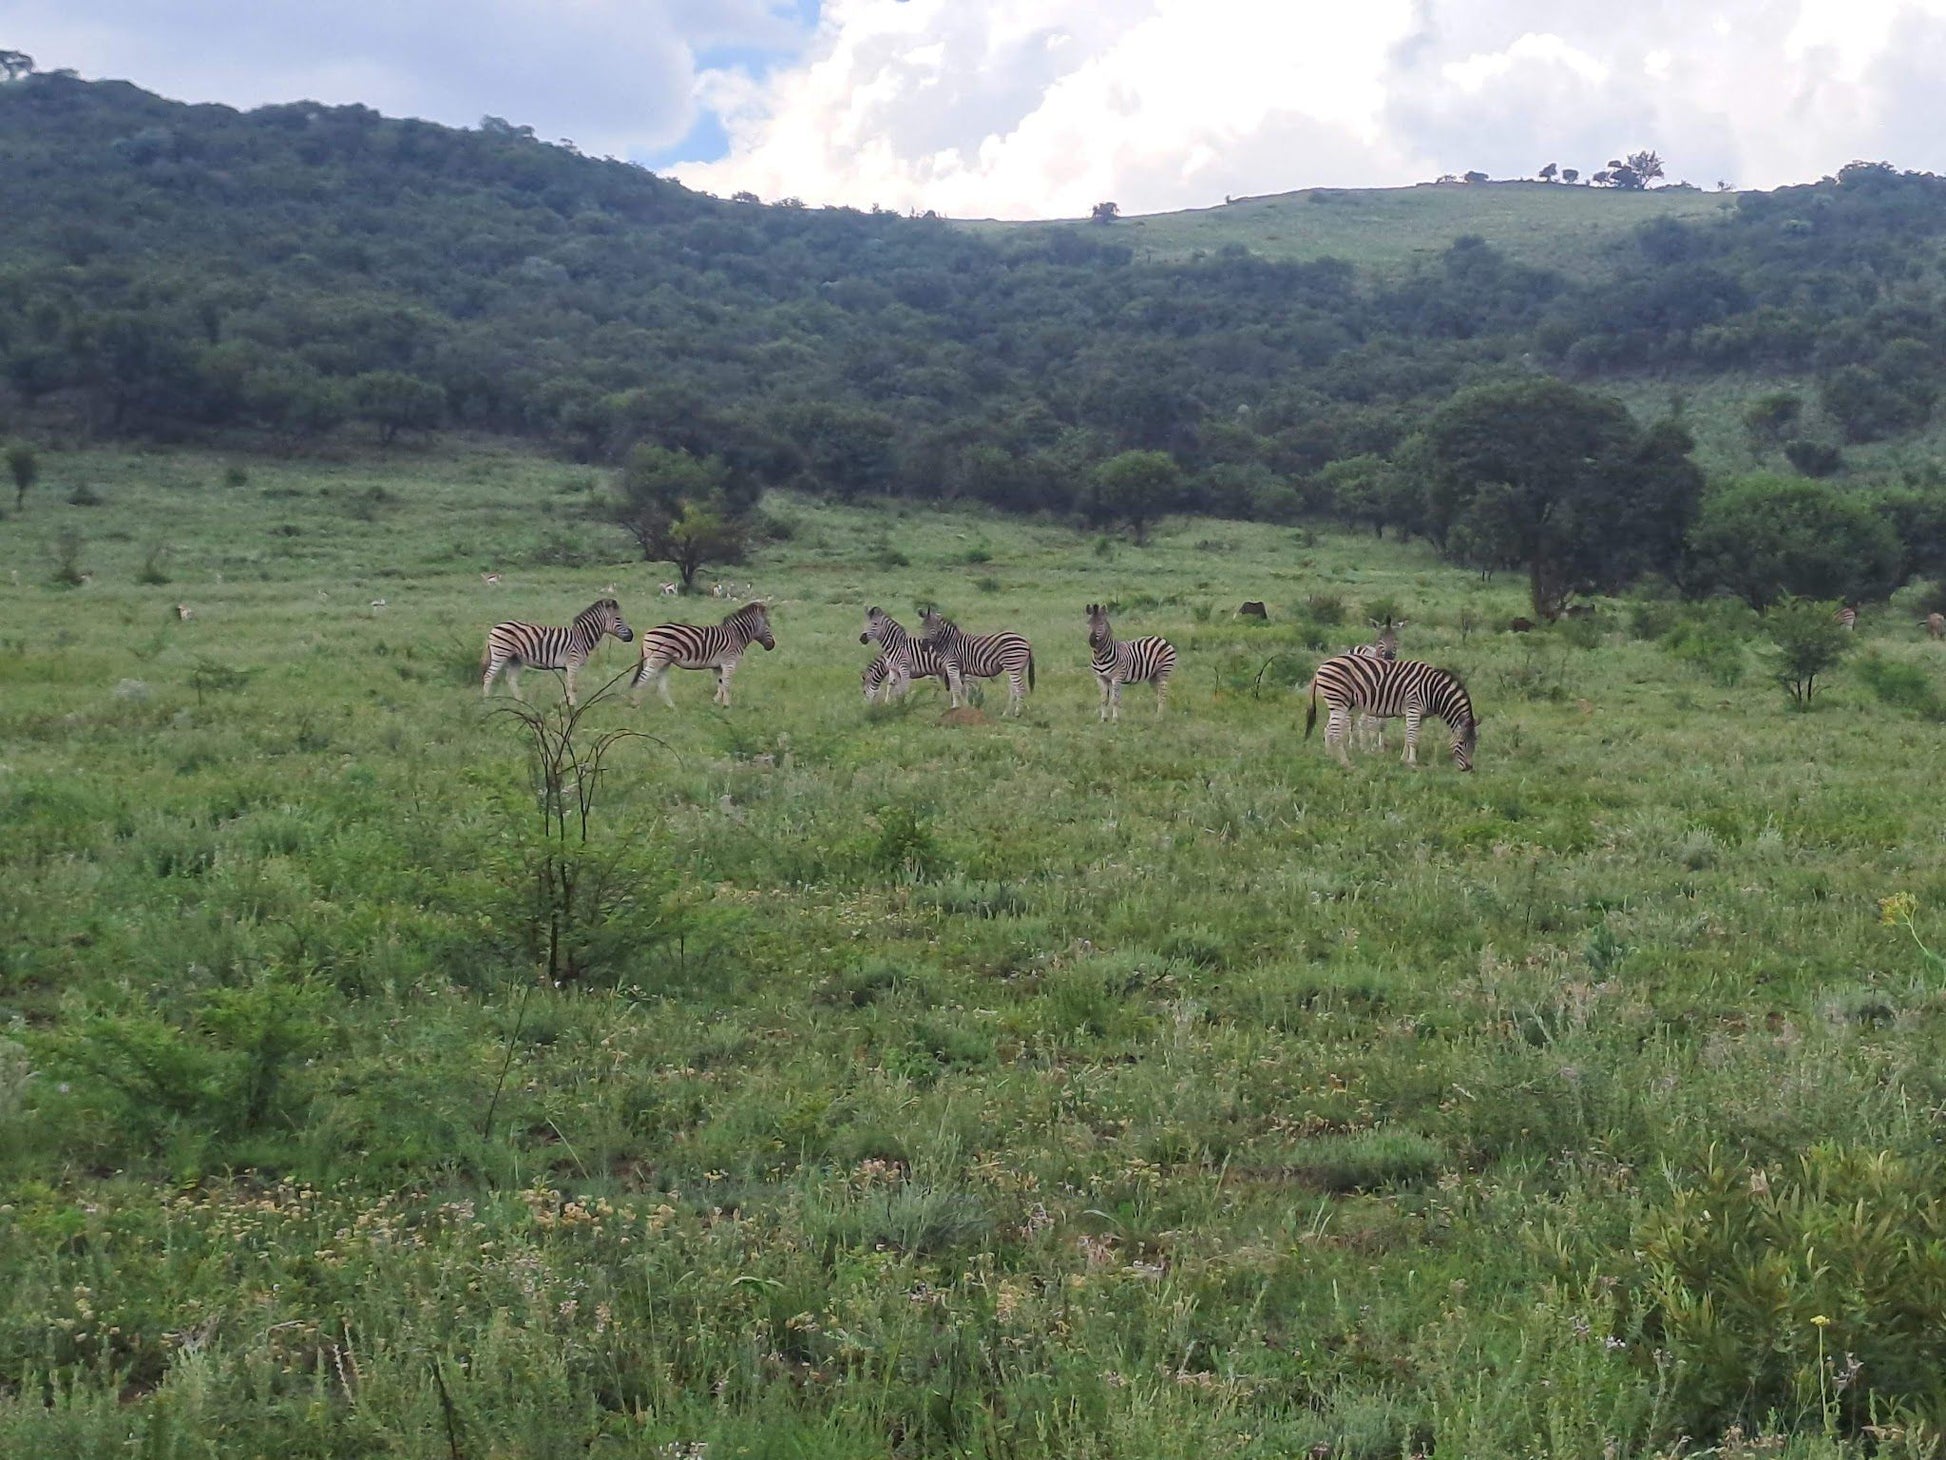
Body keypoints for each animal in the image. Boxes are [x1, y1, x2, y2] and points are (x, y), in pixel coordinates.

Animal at [482, 595, 634, 704]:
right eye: (618, 619)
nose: (631, 636)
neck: (581, 637)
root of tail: (495, 627)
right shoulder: (573, 663)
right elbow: (573, 686)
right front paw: (573, 706)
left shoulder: (566, 667)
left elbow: (568, 686)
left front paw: (565, 702)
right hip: (500, 653)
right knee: (489, 676)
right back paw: (487, 700)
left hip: (515, 658)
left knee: (510, 679)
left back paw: (521, 701)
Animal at [626, 595, 770, 704]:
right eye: (768, 626)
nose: (772, 645)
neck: (736, 635)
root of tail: (647, 632)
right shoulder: (729, 662)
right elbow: (727, 684)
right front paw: (727, 706)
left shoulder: (717, 666)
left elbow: (720, 683)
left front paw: (716, 703)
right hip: (657, 658)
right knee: (643, 678)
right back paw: (635, 704)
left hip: (664, 660)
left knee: (660, 683)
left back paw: (672, 707)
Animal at [1307, 654, 1471, 770]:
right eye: (1461, 743)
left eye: (1474, 744)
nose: (1468, 768)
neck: (1433, 690)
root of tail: (1321, 666)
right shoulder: (1414, 706)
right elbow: (1413, 737)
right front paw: (1412, 762)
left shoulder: (1419, 714)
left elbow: (1409, 735)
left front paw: (1404, 759)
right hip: (1338, 699)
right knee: (1334, 731)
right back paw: (1345, 763)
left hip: (1341, 703)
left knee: (1328, 728)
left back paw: (1330, 756)